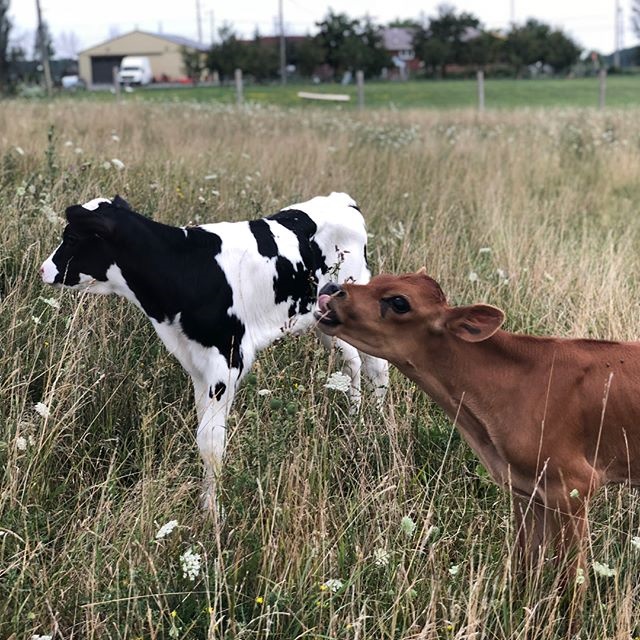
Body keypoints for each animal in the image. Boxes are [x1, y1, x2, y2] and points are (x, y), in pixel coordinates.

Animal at [42, 192, 390, 508]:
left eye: (72, 237)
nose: (44, 269)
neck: (185, 268)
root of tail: (342, 199)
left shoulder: (226, 362)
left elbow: (212, 442)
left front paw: (211, 512)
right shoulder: (196, 363)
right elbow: (203, 435)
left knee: (377, 367)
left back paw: (378, 424)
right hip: (322, 319)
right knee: (352, 362)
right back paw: (356, 420)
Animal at [316, 270, 640, 576]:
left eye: (399, 302)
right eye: (378, 278)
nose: (332, 288)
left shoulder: (574, 485)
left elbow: (570, 580)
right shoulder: (525, 489)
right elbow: (525, 566)